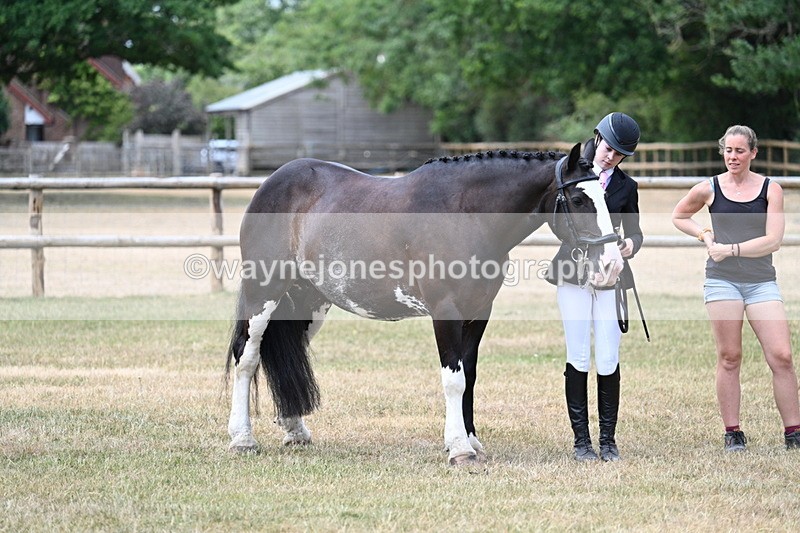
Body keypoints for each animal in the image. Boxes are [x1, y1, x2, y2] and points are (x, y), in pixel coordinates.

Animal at [225, 142, 623, 466]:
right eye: (578, 200)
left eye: (605, 198)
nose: (611, 265)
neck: (466, 214)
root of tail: (272, 183)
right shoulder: (445, 313)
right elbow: (454, 380)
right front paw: (459, 449)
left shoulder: (478, 314)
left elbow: (470, 376)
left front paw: (471, 441)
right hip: (264, 293)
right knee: (248, 356)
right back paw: (242, 438)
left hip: (309, 303)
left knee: (284, 352)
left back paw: (294, 429)